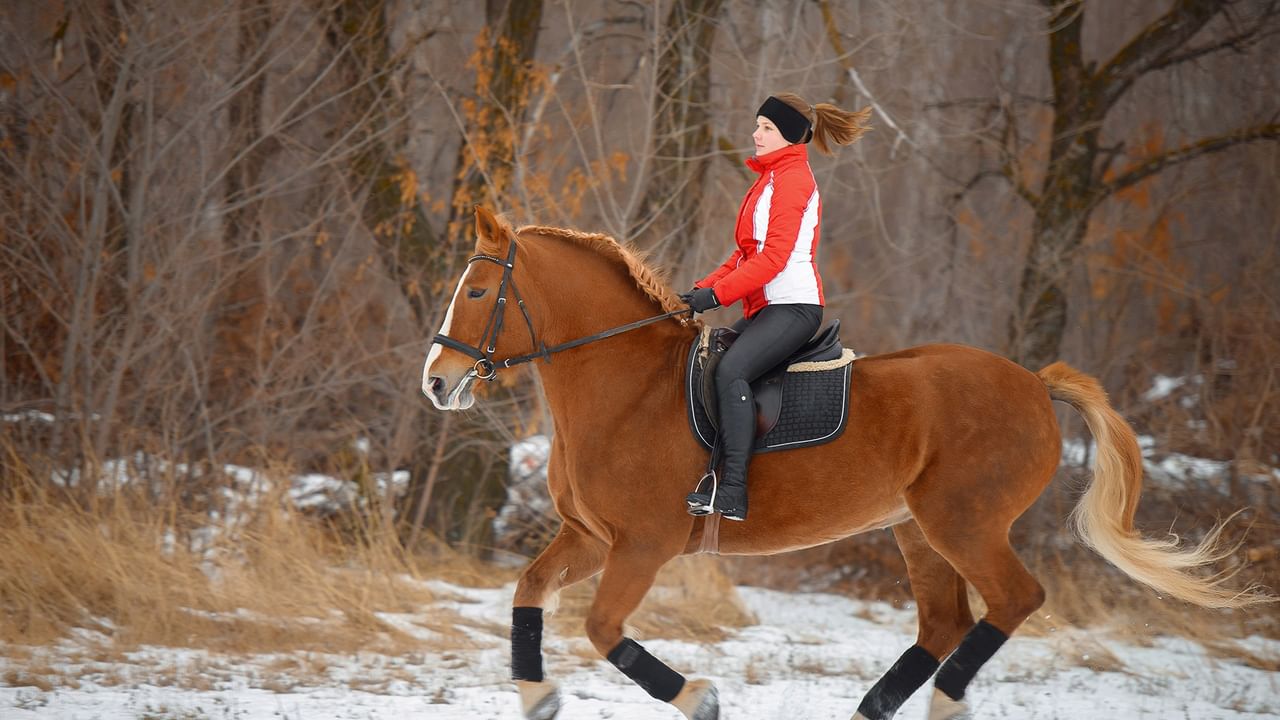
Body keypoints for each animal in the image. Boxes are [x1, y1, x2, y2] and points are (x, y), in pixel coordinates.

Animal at [421, 206, 1269, 720]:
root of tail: (1035, 382)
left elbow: (602, 628)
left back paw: (946, 701)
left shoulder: (642, 546)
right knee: (945, 622)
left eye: (477, 291)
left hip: (964, 522)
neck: (627, 387)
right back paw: (877, 708)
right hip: (918, 530)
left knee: (1014, 599)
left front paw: (698, 695)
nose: (436, 382)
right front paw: (537, 696)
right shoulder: (591, 539)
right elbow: (528, 592)